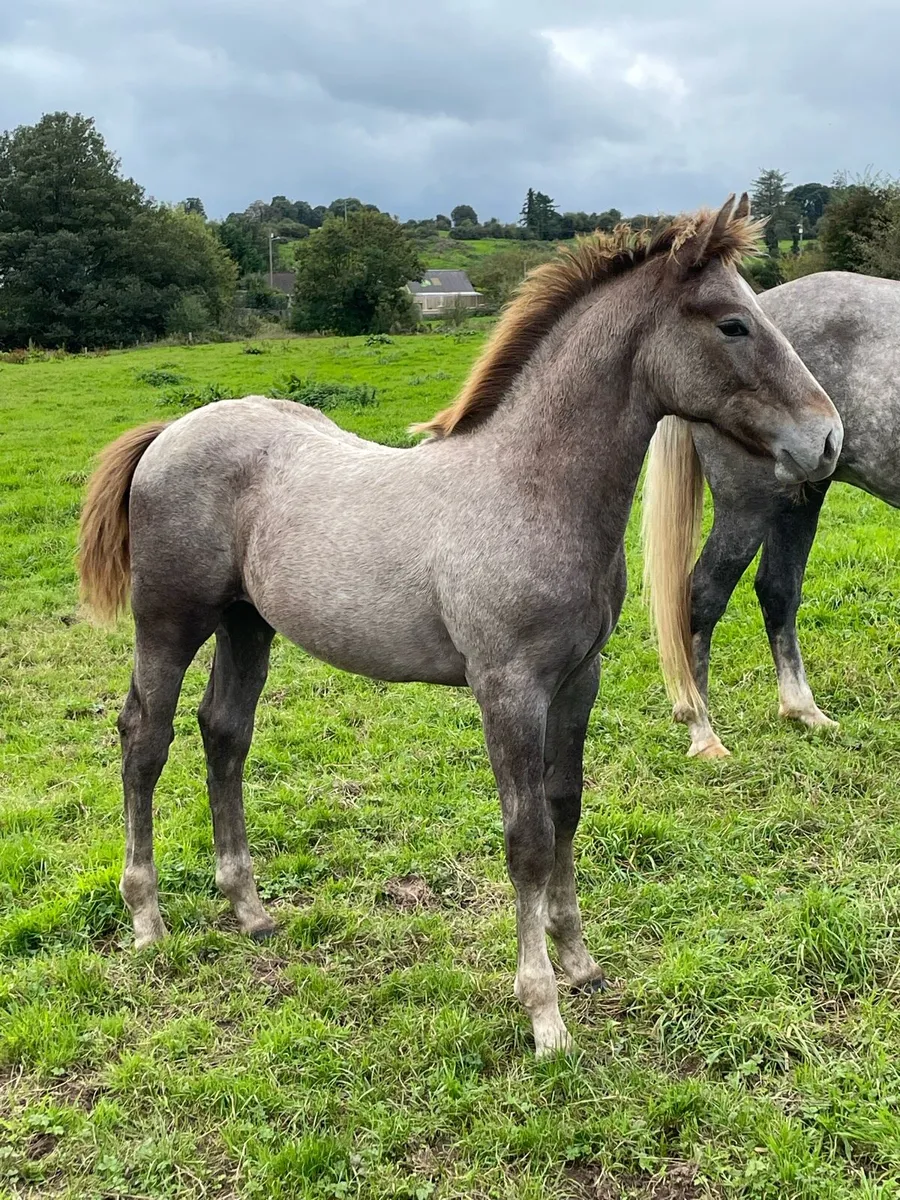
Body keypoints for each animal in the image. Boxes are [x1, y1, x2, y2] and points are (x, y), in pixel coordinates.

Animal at [78, 197, 842, 1057]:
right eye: (733, 323)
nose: (827, 440)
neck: (529, 489)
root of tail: (170, 432)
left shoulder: (578, 679)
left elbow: (566, 806)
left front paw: (580, 961)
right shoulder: (506, 688)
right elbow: (527, 837)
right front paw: (544, 1014)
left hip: (248, 624)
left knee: (224, 733)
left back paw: (249, 909)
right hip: (170, 621)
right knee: (146, 737)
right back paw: (147, 918)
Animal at [643, 270, 900, 759]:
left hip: (802, 495)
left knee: (778, 591)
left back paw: (803, 711)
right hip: (746, 508)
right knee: (703, 596)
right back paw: (702, 731)